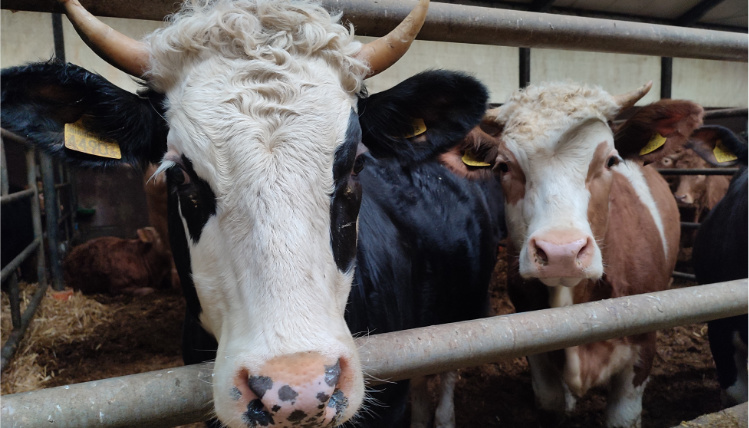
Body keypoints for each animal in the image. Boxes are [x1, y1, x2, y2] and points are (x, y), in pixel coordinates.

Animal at [474, 84, 696, 428]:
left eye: (610, 161)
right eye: (503, 166)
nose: (561, 252)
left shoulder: (643, 346)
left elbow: (623, 417)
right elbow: (551, 402)